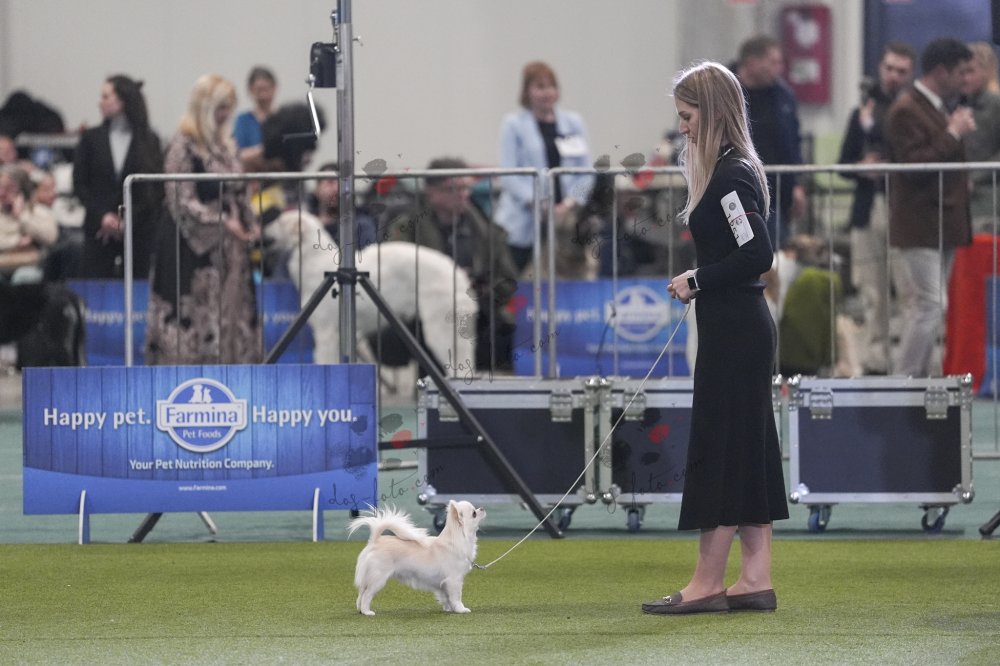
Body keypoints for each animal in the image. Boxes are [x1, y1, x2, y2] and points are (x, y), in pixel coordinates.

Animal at [263, 209, 478, 371]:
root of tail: (456, 272)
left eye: (278, 222)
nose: (263, 230)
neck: (313, 259)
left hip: (440, 327)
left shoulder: (327, 332)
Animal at [347, 501, 486, 616]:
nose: (482, 508)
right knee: (367, 595)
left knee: (361, 593)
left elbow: (446, 597)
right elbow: (456, 597)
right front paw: (460, 609)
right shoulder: (454, 580)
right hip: (378, 578)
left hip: (368, 578)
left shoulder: (444, 583)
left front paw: (449, 608)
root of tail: (375, 541)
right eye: (474, 514)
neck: (457, 540)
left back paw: (360, 610)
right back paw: (367, 612)